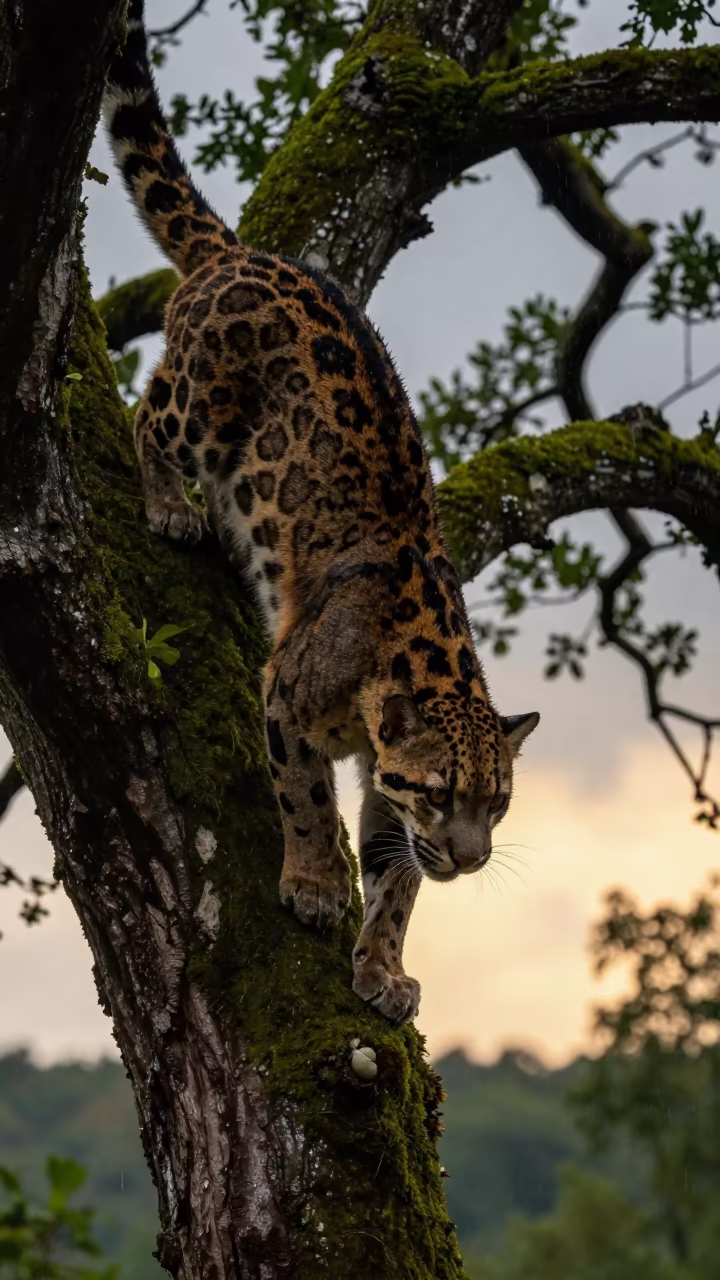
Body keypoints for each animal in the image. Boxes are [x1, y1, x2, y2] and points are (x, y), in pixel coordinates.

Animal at [103, 0, 539, 1025]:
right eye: (443, 791)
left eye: (496, 803)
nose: (473, 859)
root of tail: (242, 254)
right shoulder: (288, 698)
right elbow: (303, 797)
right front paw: (310, 884)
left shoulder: (385, 787)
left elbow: (398, 879)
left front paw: (382, 967)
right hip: (202, 405)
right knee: (146, 411)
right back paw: (170, 508)